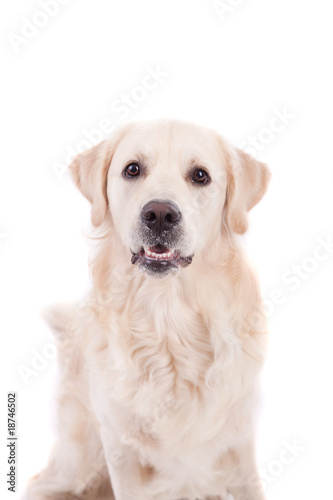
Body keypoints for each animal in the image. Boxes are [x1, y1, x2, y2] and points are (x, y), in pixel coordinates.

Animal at [23, 119, 272, 498]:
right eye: (132, 169)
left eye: (200, 175)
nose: (160, 214)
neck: (167, 318)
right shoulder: (121, 450)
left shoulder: (239, 442)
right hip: (79, 461)